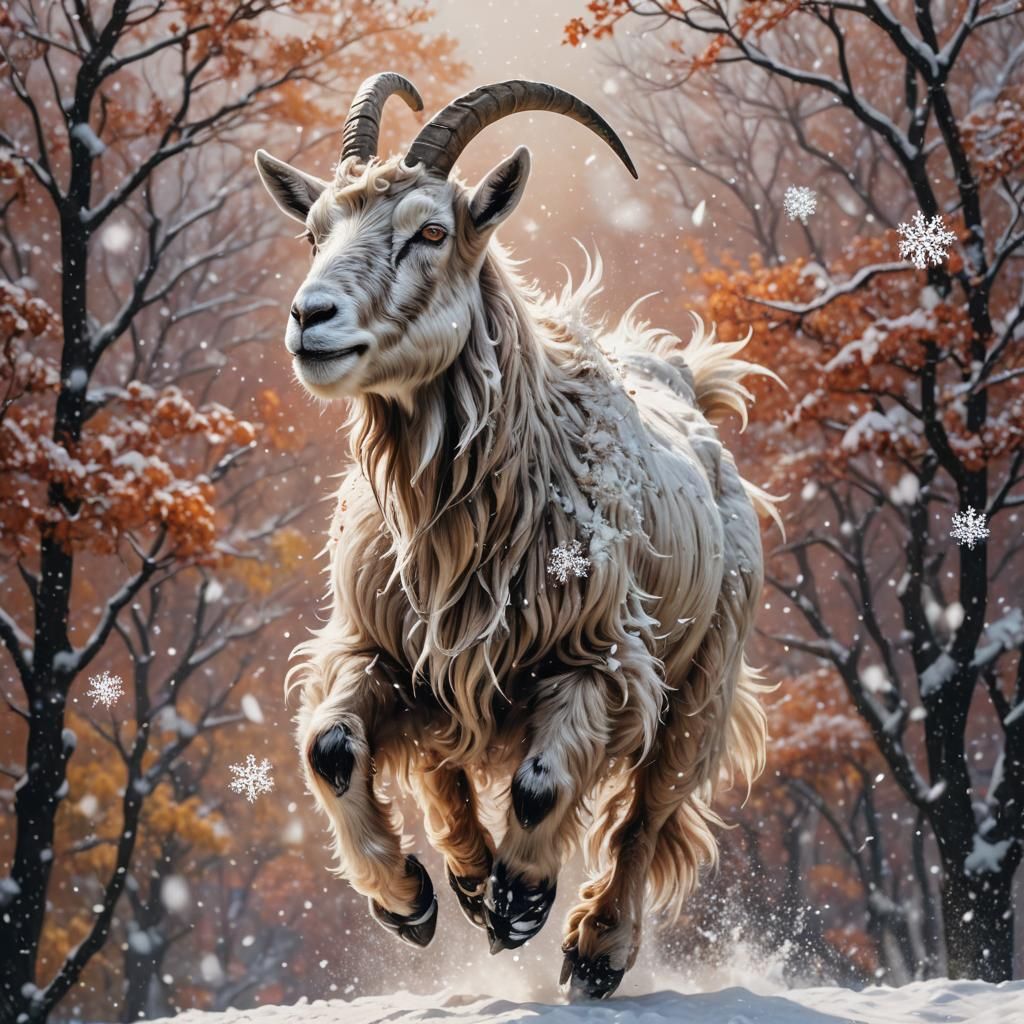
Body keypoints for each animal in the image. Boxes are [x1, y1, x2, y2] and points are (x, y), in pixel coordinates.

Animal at [255, 74, 774, 999]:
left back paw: (595, 947)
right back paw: (463, 875)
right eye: (314, 230)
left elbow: (539, 786)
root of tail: (688, 383)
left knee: (649, 809)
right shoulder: (371, 641)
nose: (311, 317)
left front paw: (523, 902)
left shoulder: (602, 658)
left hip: (707, 677)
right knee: (440, 761)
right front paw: (406, 899)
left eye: (431, 230)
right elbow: (329, 749)